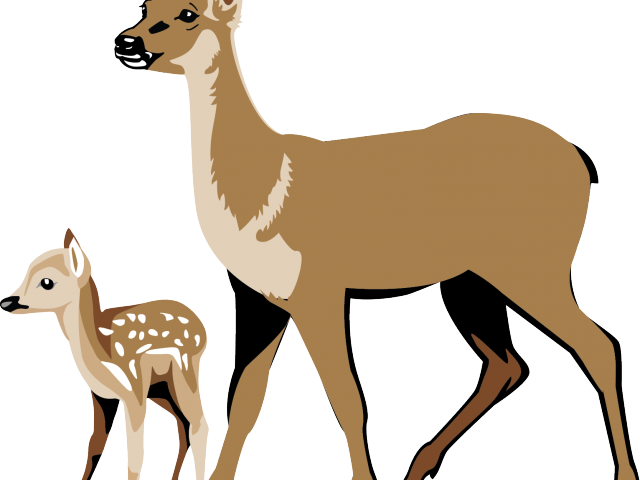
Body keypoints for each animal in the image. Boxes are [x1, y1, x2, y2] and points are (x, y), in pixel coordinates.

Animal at [0, 228, 209, 480]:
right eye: (25, 273)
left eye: (47, 282)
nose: (6, 302)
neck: (102, 351)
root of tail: (202, 330)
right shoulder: (100, 395)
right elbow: (95, 446)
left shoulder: (134, 388)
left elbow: (135, 455)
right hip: (161, 389)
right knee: (182, 424)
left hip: (184, 370)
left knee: (199, 424)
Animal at [113, 1, 638, 479]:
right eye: (144, 7)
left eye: (188, 14)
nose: (127, 42)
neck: (262, 190)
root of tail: (583, 162)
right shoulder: (257, 298)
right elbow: (243, 402)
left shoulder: (319, 291)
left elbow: (347, 397)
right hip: (469, 280)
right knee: (507, 364)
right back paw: (418, 465)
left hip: (532, 267)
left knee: (597, 345)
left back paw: (625, 473)